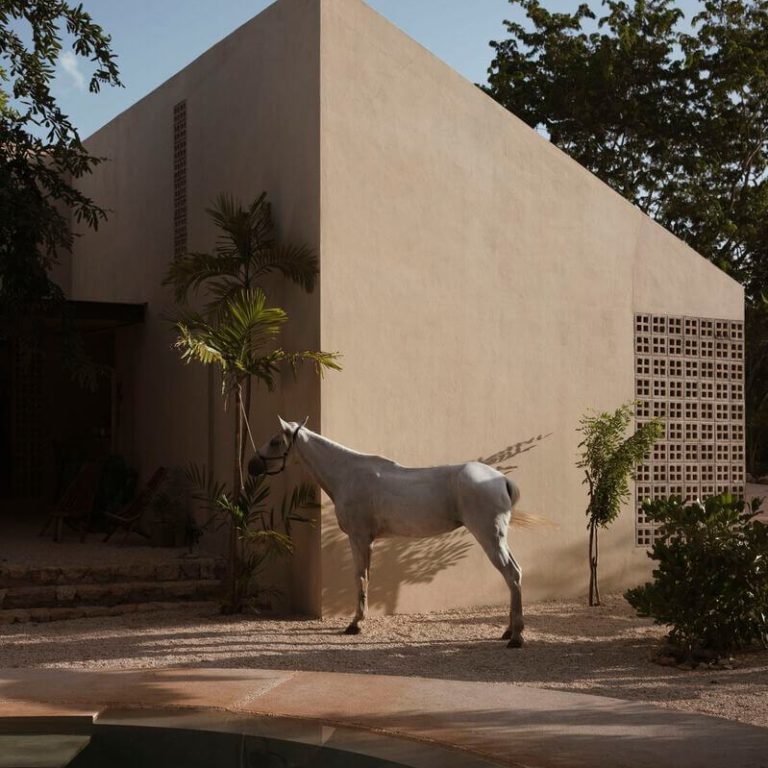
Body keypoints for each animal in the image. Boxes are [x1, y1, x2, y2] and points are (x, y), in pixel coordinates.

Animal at [249, 416, 524, 644]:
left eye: (275, 441)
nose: (252, 466)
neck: (347, 474)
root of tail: (500, 479)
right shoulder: (368, 540)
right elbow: (367, 576)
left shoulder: (358, 537)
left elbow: (360, 576)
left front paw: (355, 624)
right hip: (498, 539)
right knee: (514, 575)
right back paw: (508, 631)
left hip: (489, 537)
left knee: (512, 574)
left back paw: (516, 637)